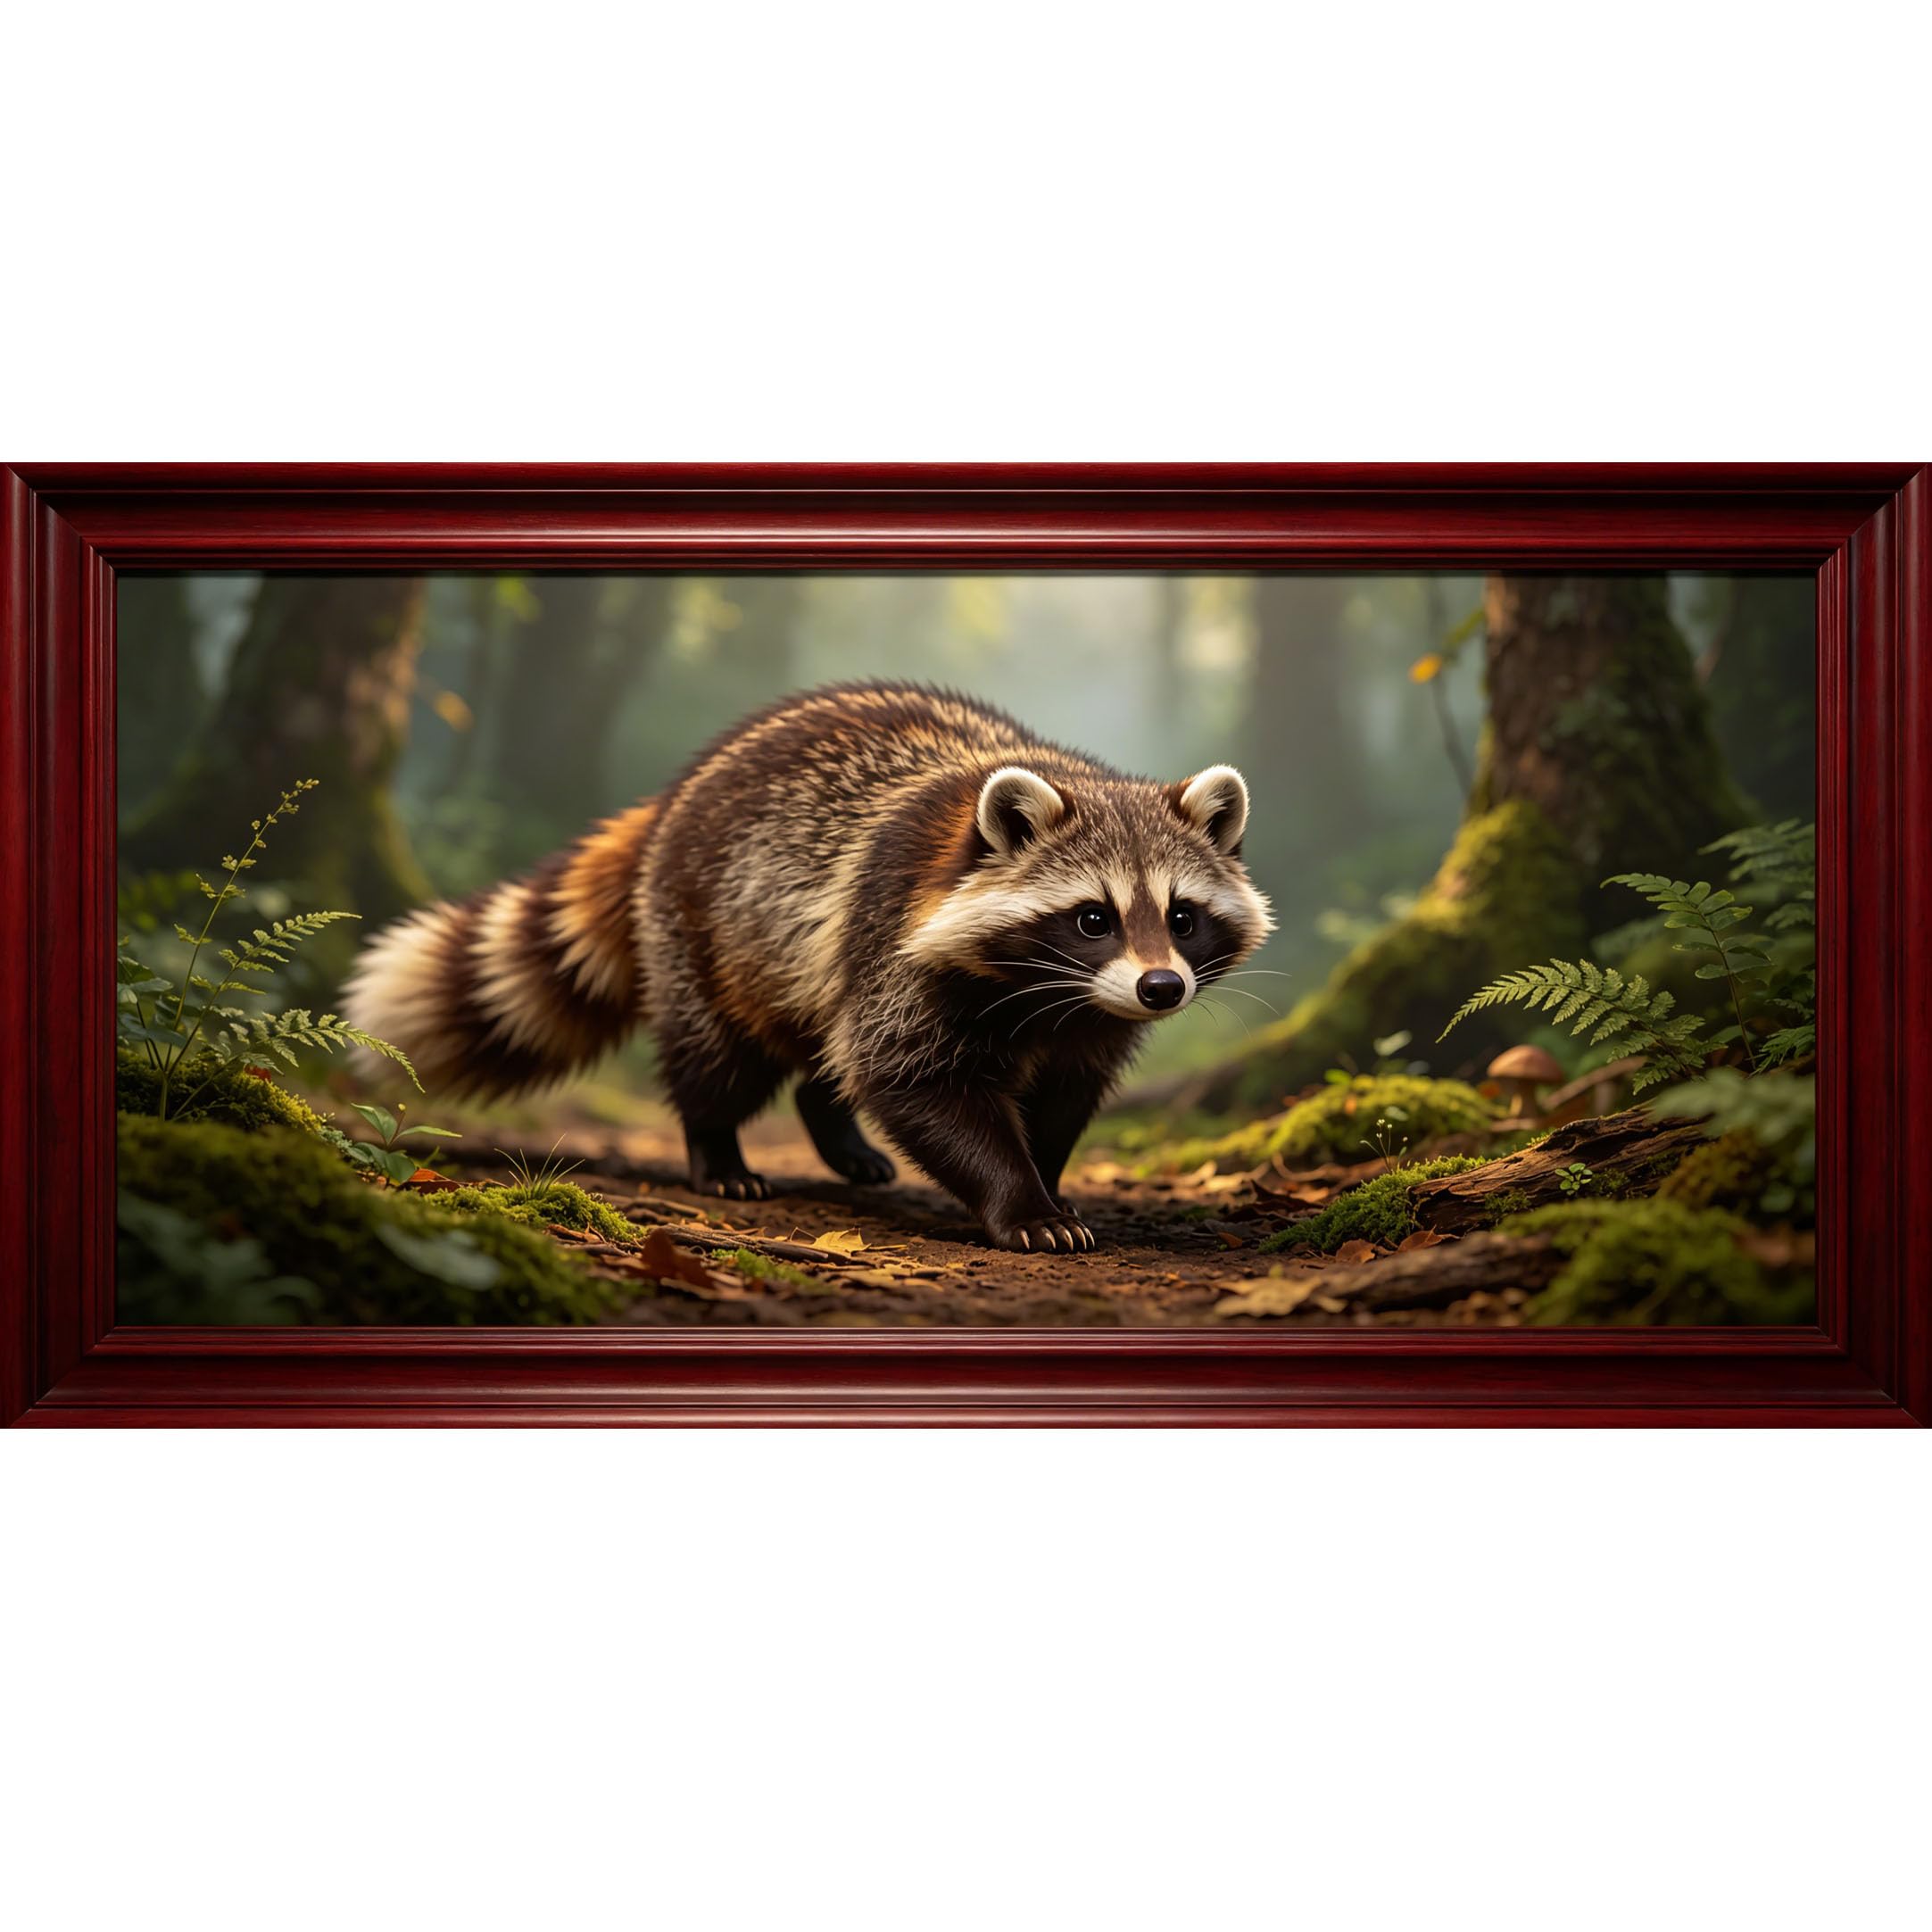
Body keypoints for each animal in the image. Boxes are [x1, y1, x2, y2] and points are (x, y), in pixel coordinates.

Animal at [343, 684, 1273, 1252]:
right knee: (722, 1056)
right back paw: (715, 1146)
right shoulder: (893, 933)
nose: (1161, 988)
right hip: (704, 928)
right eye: (1092, 918)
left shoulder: (1087, 1018)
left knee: (824, 1050)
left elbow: (1063, 1097)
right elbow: (912, 1078)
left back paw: (833, 1128)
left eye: (1181, 918)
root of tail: (674, 794)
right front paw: (1018, 1198)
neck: (1046, 997)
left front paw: (1048, 1178)